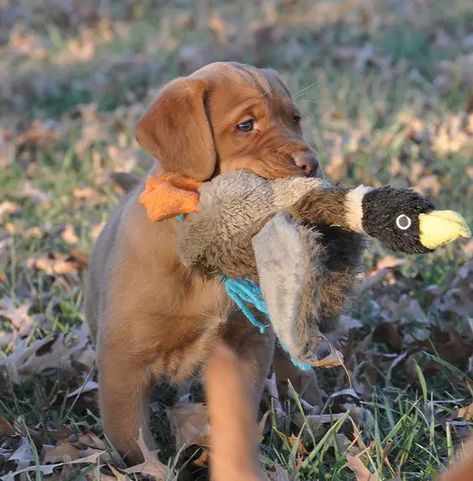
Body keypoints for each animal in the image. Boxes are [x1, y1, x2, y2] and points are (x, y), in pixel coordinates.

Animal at [84, 62, 318, 464]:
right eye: (246, 125)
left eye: (295, 119)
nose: (311, 163)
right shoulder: (122, 362)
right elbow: (132, 439)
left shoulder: (246, 344)